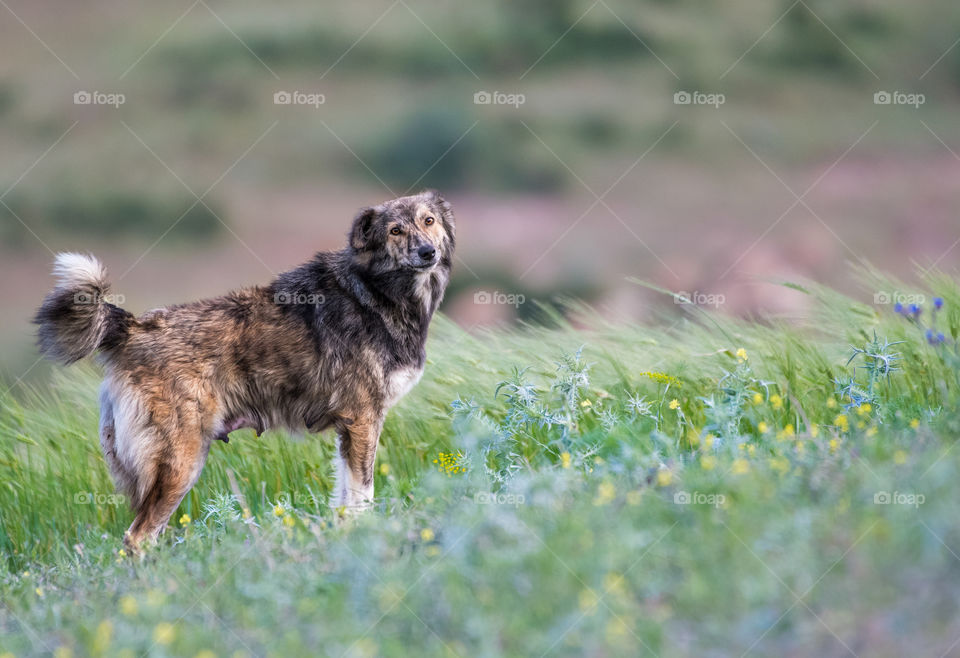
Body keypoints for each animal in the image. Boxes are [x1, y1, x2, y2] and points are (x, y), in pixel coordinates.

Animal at [35, 188, 456, 548]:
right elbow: (362, 496)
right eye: (395, 230)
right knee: (138, 537)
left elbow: (345, 500)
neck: (375, 292)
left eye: (429, 220)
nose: (427, 252)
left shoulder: (348, 430)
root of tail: (132, 327)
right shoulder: (363, 421)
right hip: (181, 463)